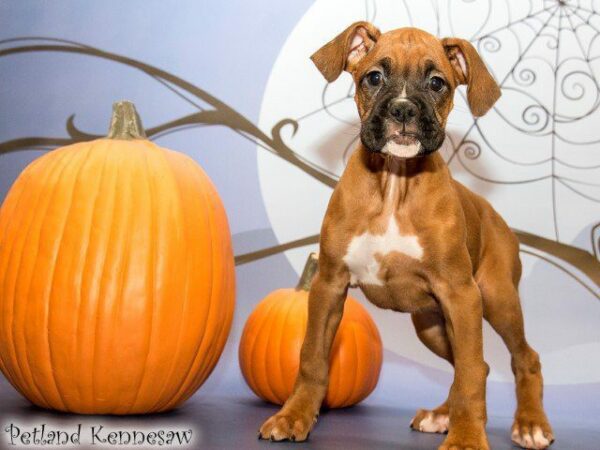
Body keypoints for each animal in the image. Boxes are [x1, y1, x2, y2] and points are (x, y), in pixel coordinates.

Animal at [258, 23, 552, 450]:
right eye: (374, 77)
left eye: (437, 83)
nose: (402, 109)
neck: (395, 182)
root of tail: (492, 213)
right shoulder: (329, 284)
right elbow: (312, 357)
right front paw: (293, 416)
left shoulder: (461, 295)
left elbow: (469, 375)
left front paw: (468, 437)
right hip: (433, 326)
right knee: (478, 364)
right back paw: (443, 415)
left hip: (495, 301)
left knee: (517, 359)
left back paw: (529, 424)